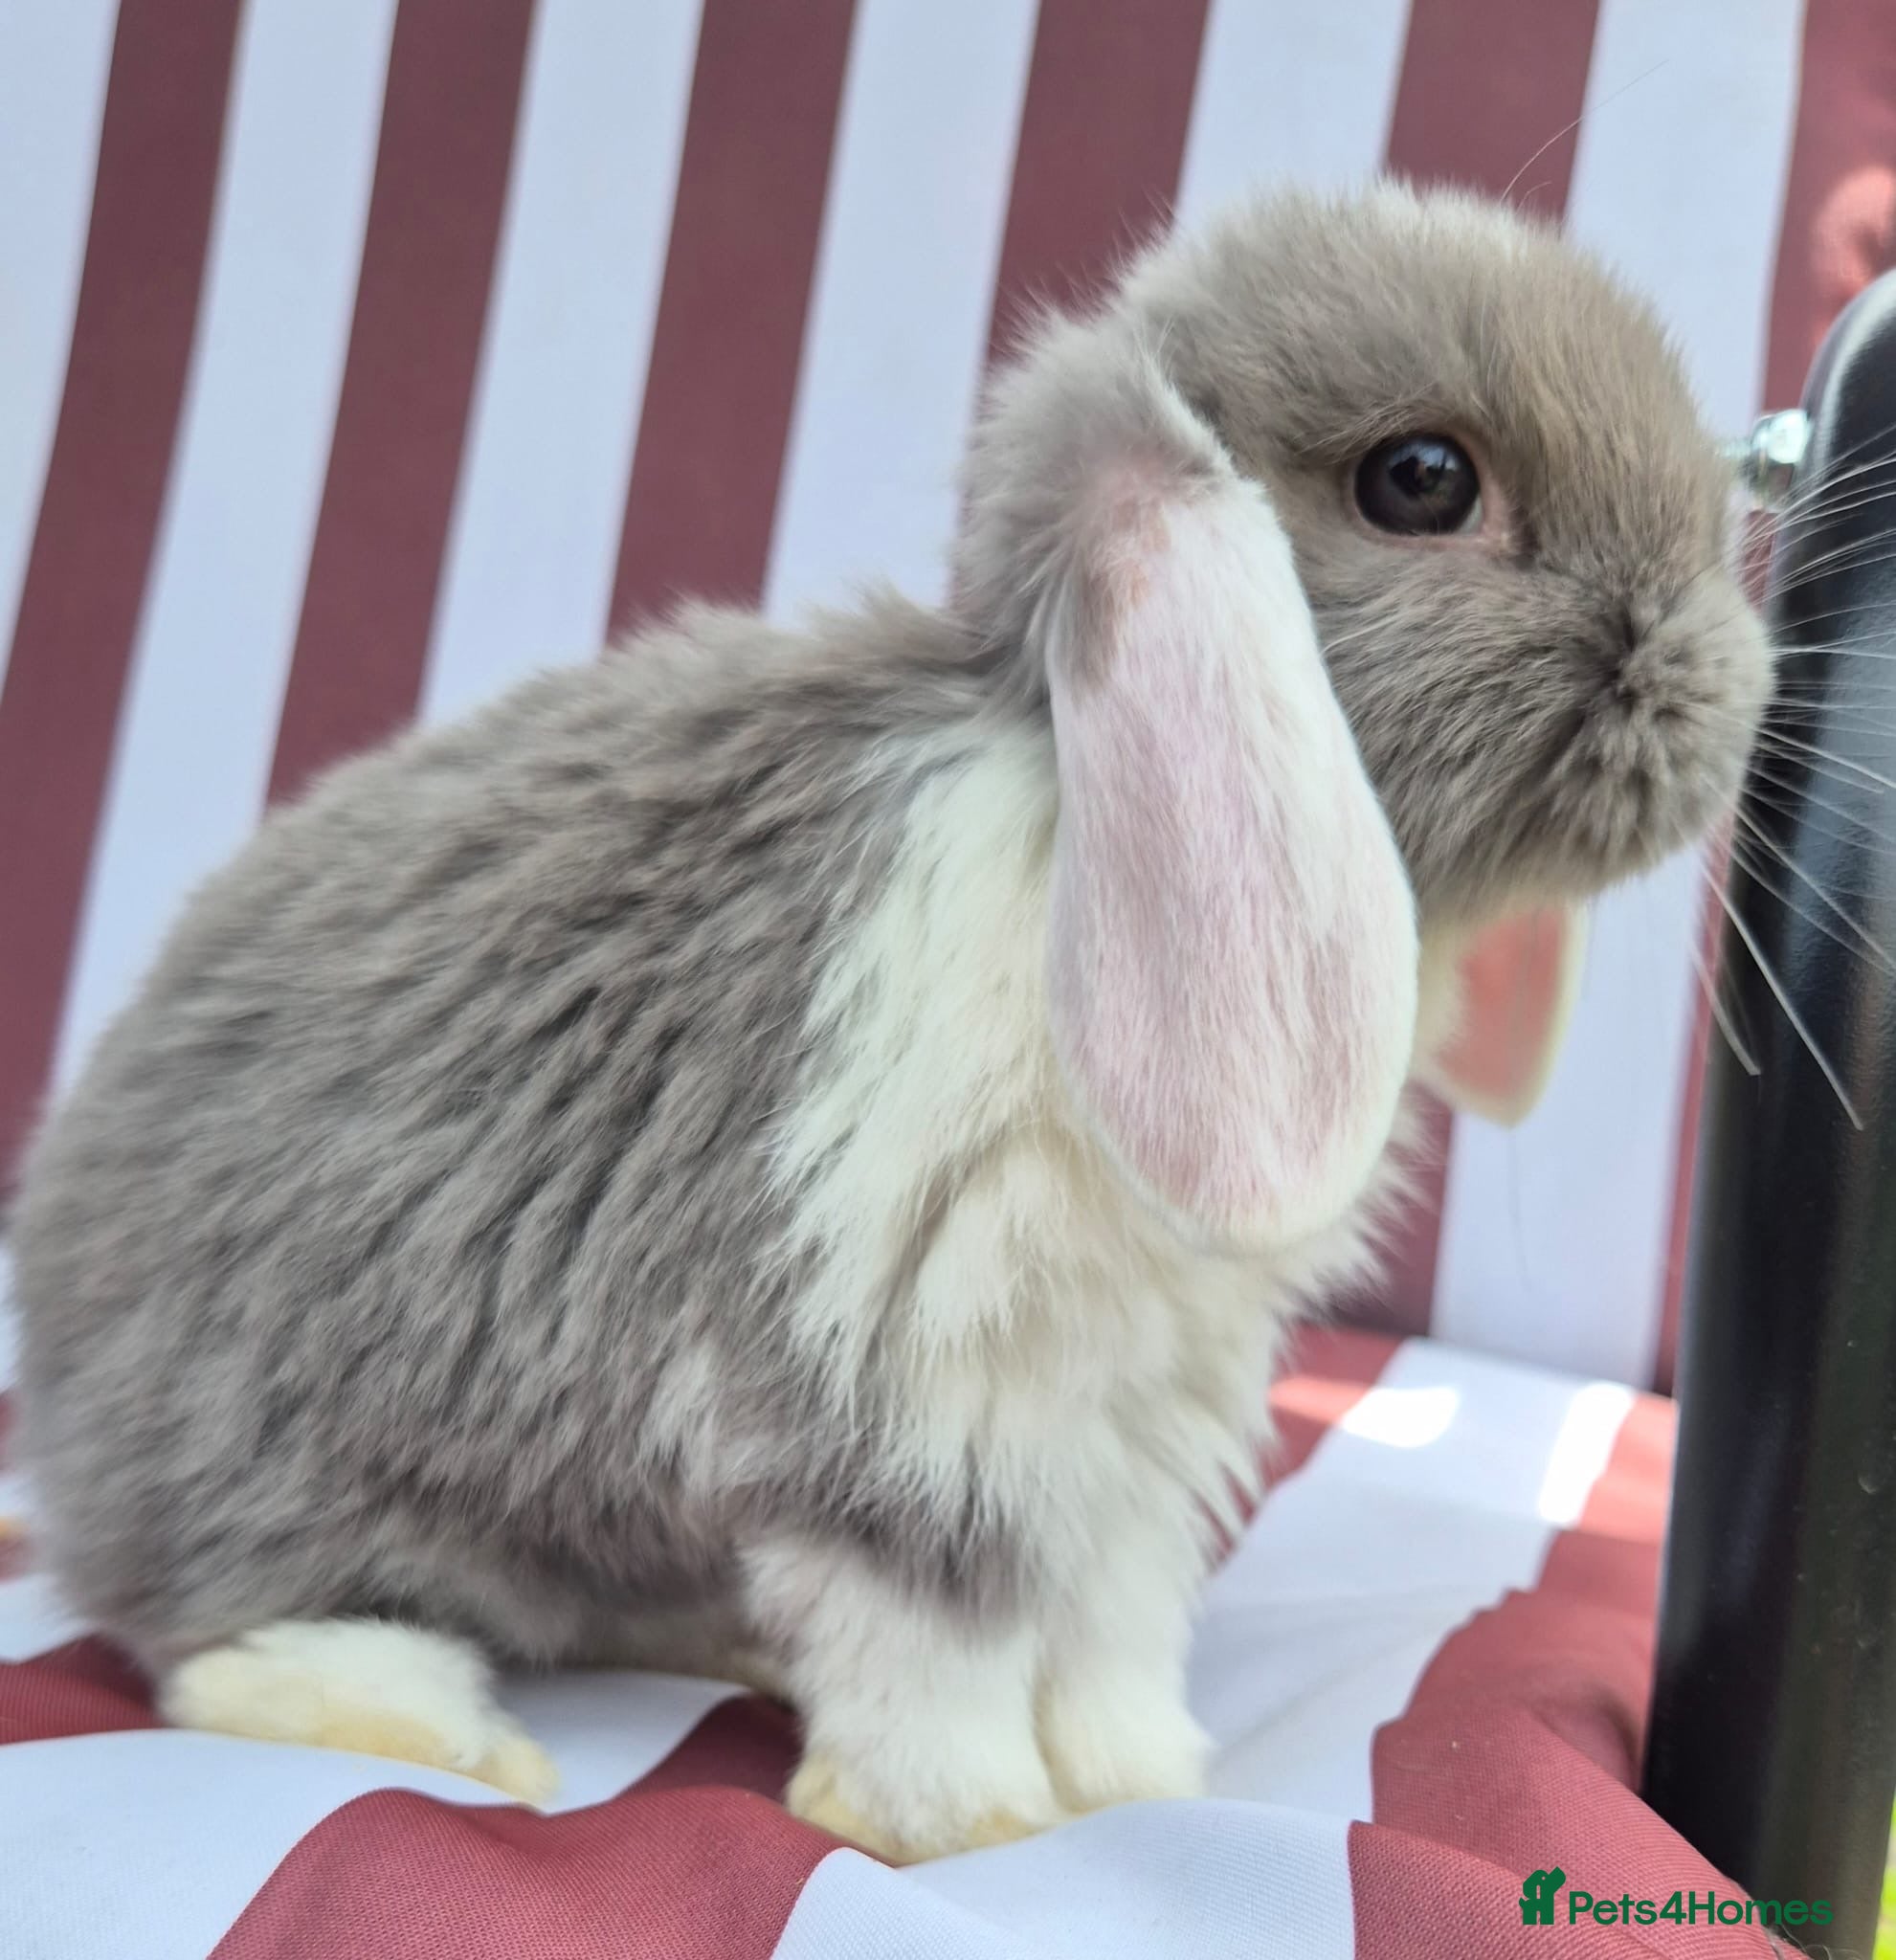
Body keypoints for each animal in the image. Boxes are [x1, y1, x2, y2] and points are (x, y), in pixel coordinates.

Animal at [8, 181, 1769, 1862]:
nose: (1721, 678)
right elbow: (940, 1618)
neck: (1066, 801)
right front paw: (962, 1823)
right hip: (281, 1463)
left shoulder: (1134, 1414)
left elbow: (1111, 1621)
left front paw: (1138, 1783)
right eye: (1420, 481)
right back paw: (443, 1733)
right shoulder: (901, 1377)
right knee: (215, 1635)